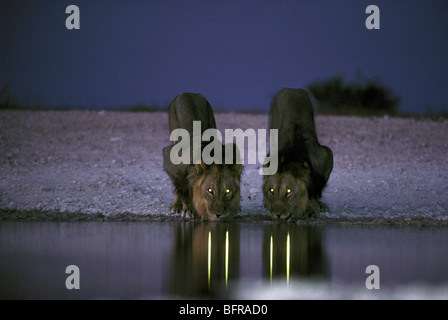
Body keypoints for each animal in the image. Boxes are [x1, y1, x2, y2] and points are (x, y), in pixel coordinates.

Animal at [262, 89, 332, 221]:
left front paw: (312, 208)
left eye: (288, 191)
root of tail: (291, 89)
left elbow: (315, 190)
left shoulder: (326, 155)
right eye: (271, 190)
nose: (277, 215)